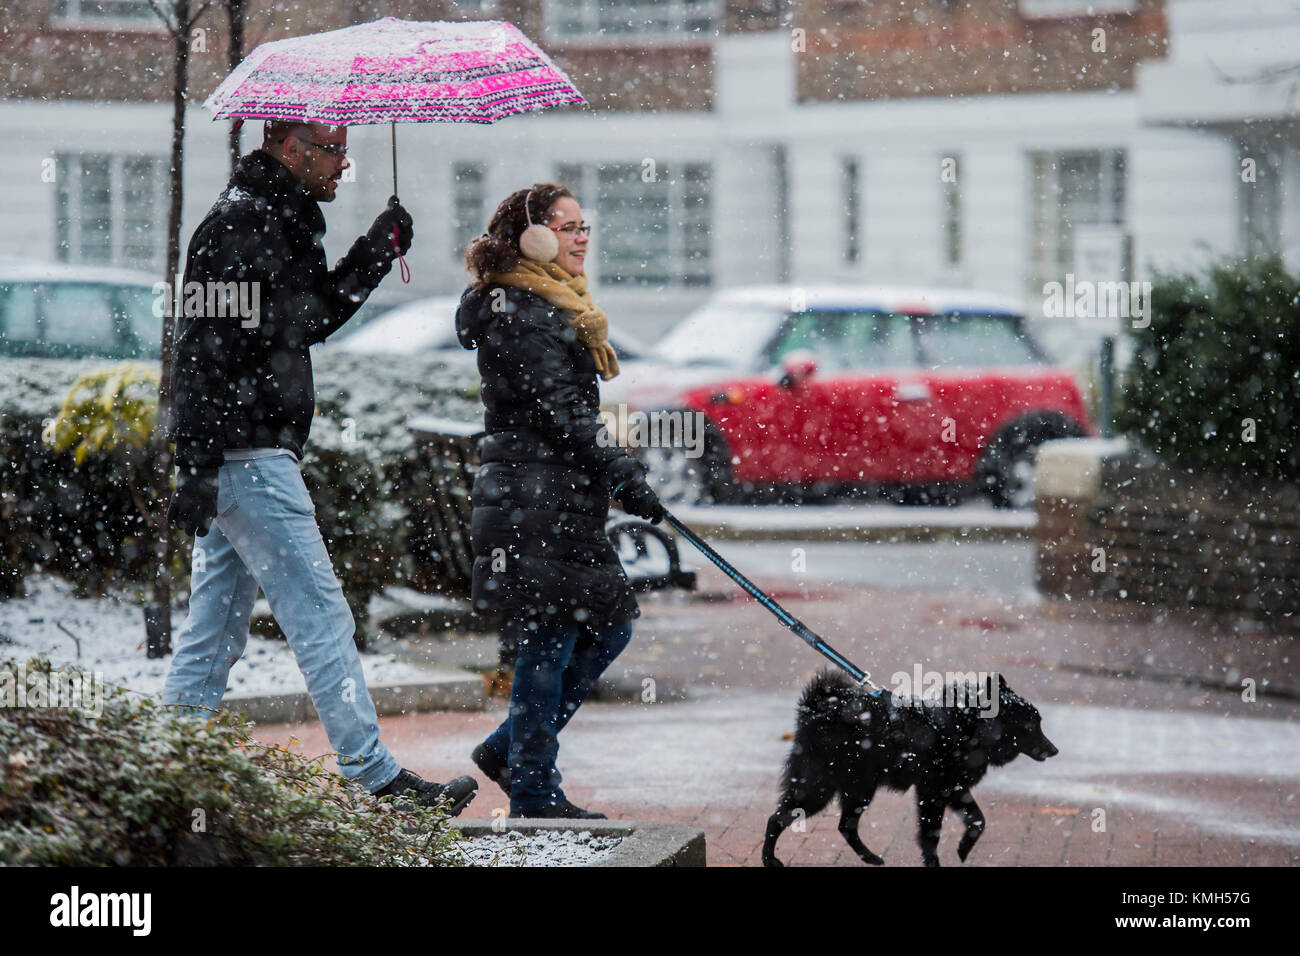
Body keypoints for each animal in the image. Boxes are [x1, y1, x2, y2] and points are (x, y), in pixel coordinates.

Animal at [759, 671, 1055, 868]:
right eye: (1030, 726)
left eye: (1039, 722)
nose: (1054, 750)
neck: (963, 727)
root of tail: (814, 712)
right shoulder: (933, 792)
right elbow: (931, 836)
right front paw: (934, 862)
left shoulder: (954, 788)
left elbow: (978, 820)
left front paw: (962, 848)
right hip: (819, 788)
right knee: (777, 818)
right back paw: (768, 858)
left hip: (858, 789)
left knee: (845, 826)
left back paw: (871, 857)